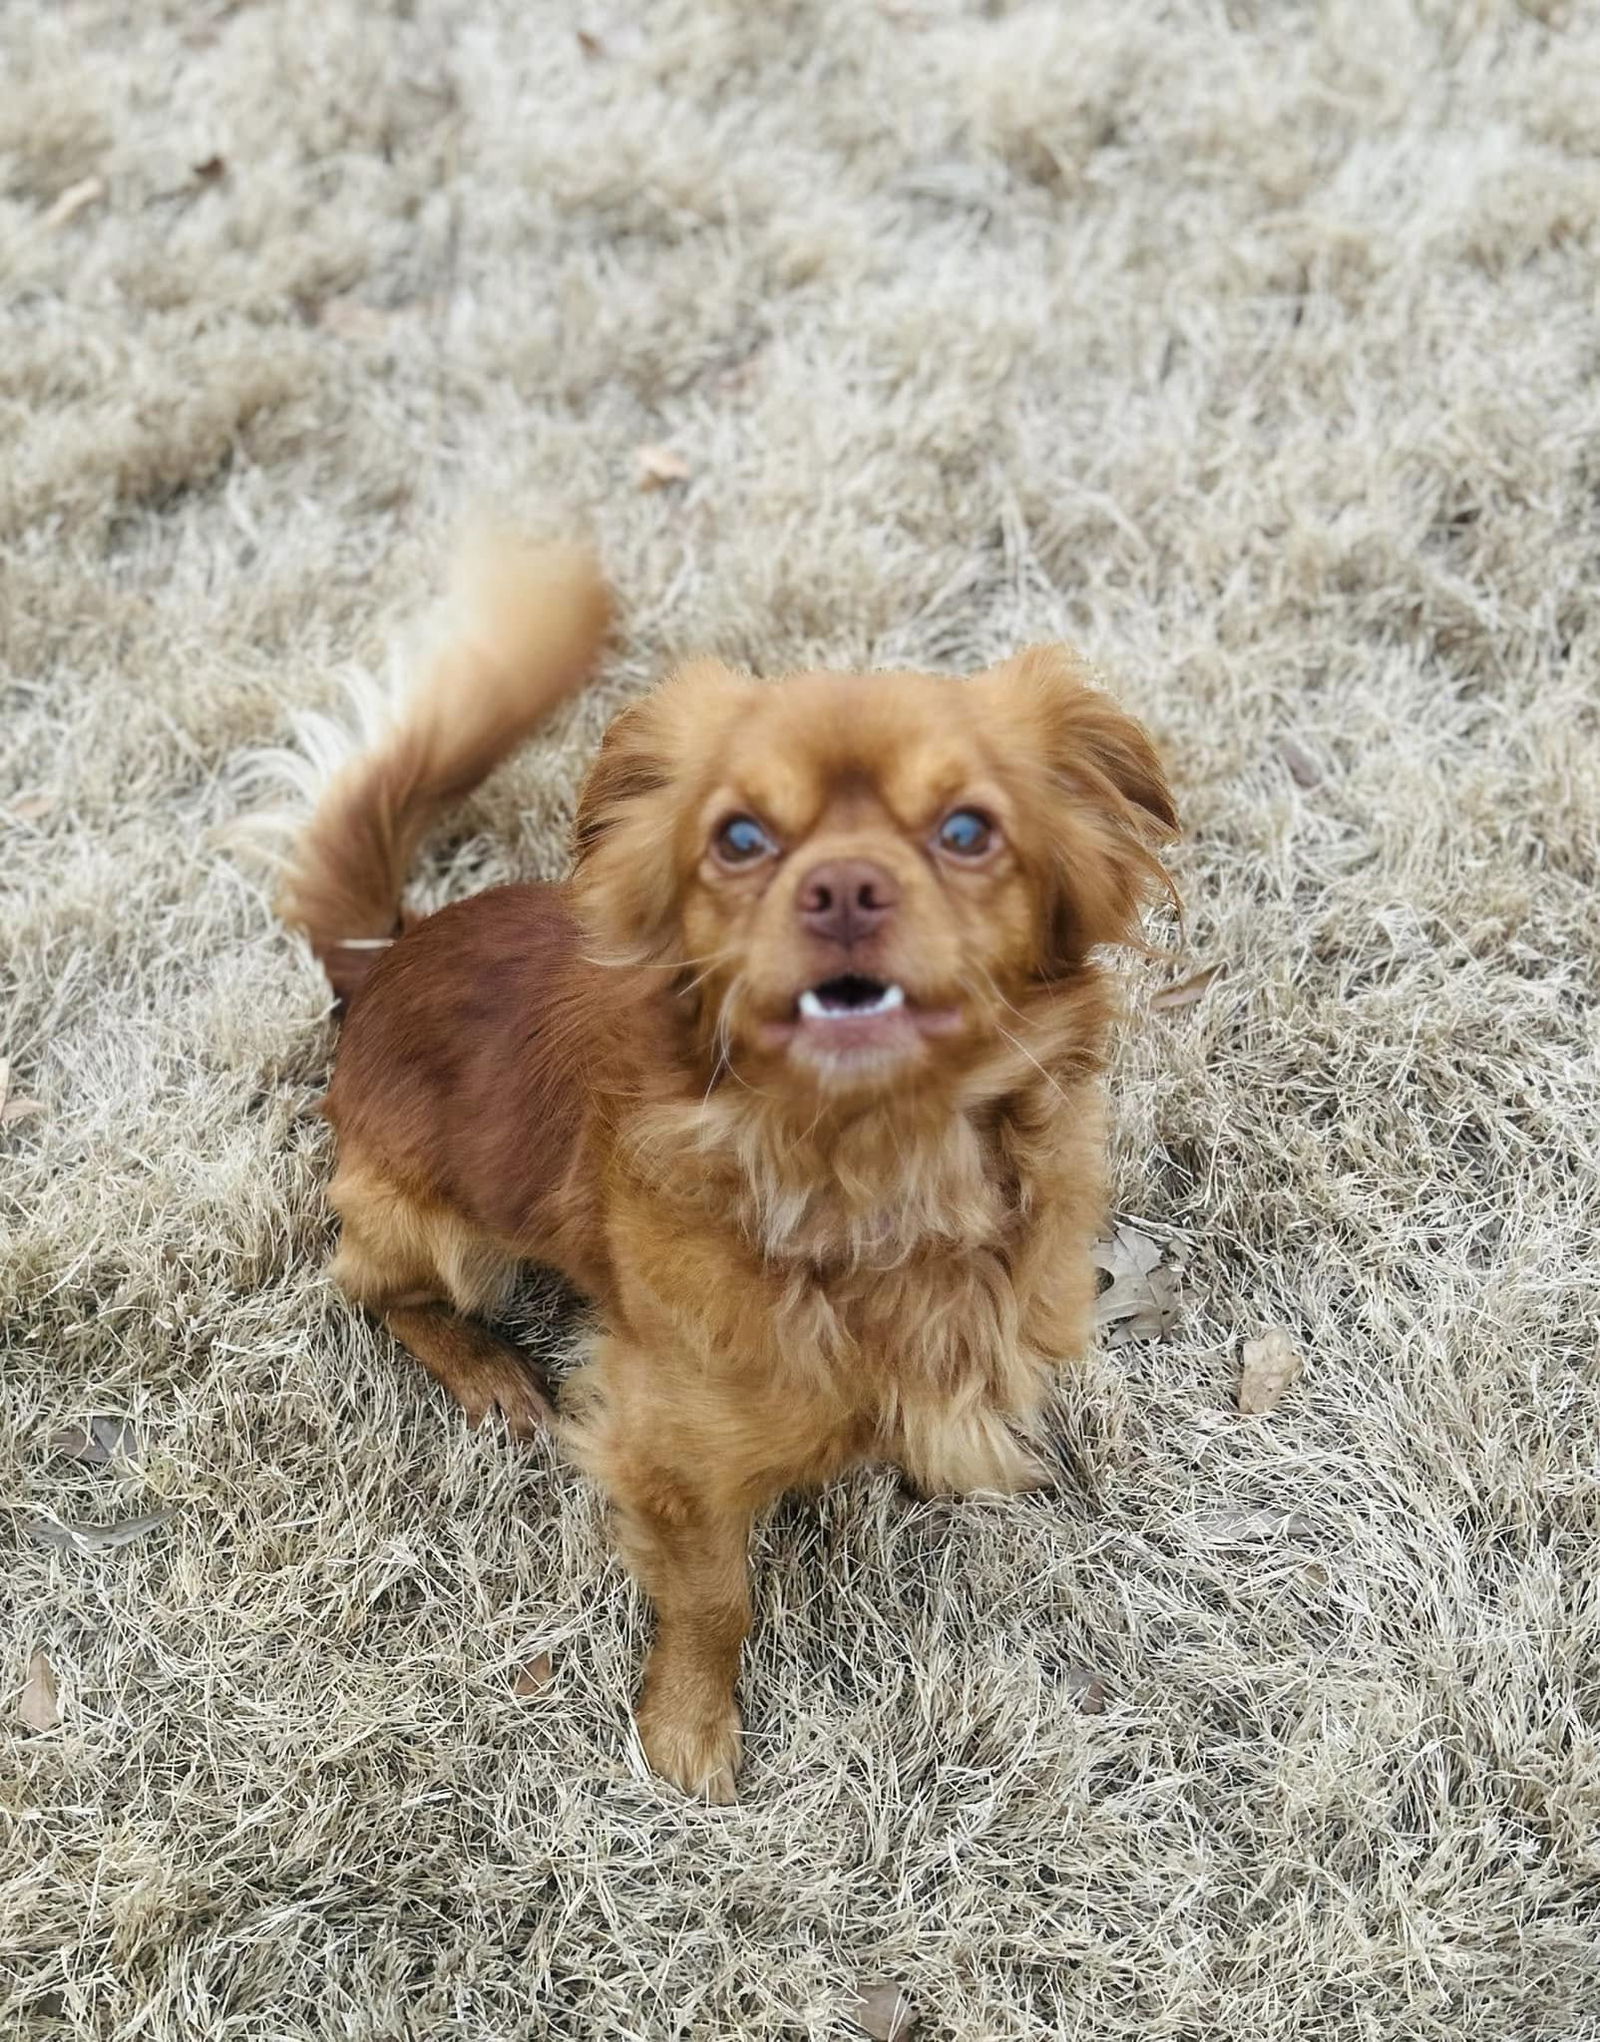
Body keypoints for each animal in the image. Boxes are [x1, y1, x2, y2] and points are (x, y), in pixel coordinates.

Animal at [277, 535, 1175, 1796]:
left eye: (967, 829)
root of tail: (384, 956)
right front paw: (689, 1729)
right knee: (370, 1286)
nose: (843, 888)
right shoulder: (668, 1447)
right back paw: (488, 1369)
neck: (871, 1169)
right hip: (433, 1224)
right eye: (740, 838)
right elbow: (715, 1598)